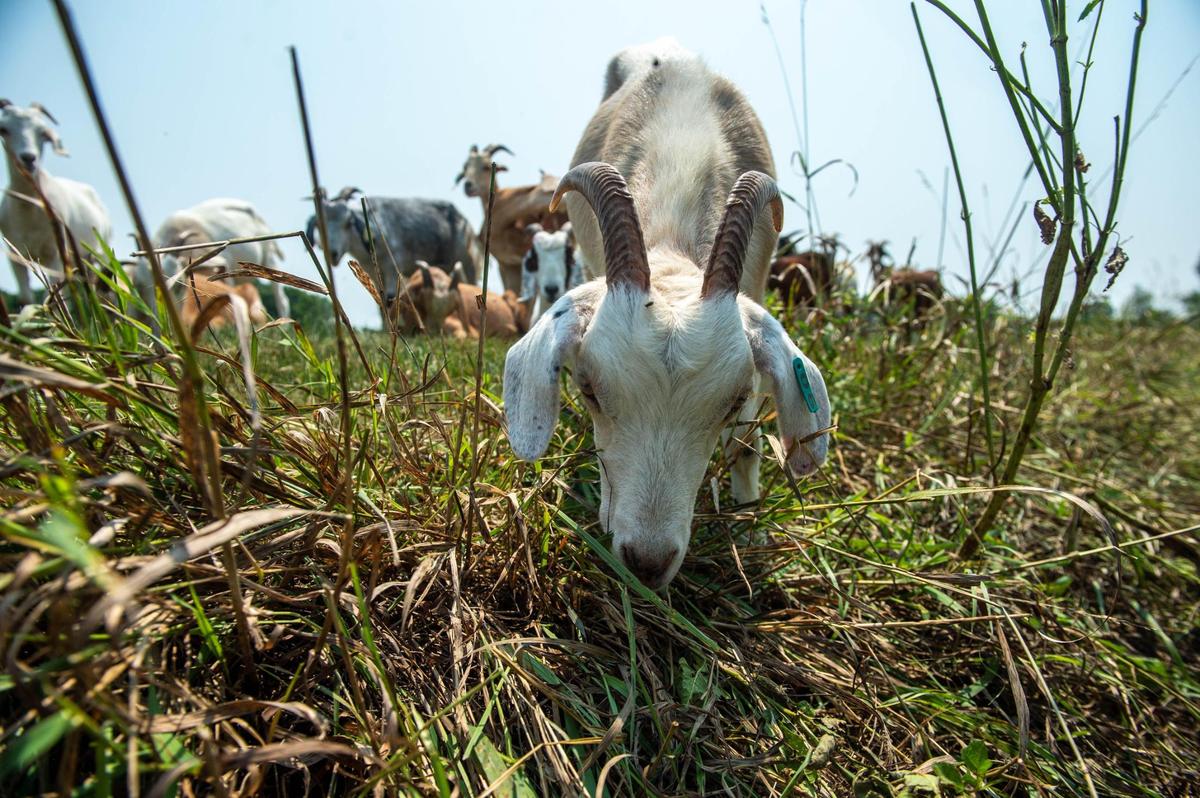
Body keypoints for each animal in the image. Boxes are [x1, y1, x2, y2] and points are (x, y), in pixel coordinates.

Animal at [0, 100, 111, 304]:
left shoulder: (56, 253)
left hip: (96, 253)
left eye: (43, 133)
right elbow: (26, 298)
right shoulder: (14, 255)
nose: (28, 158)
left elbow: (51, 294)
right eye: (4, 129)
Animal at [307, 188, 483, 325]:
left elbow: (389, 298)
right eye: (318, 225)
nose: (332, 253)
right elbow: (380, 299)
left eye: (348, 222)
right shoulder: (372, 270)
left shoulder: (392, 264)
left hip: (467, 262)